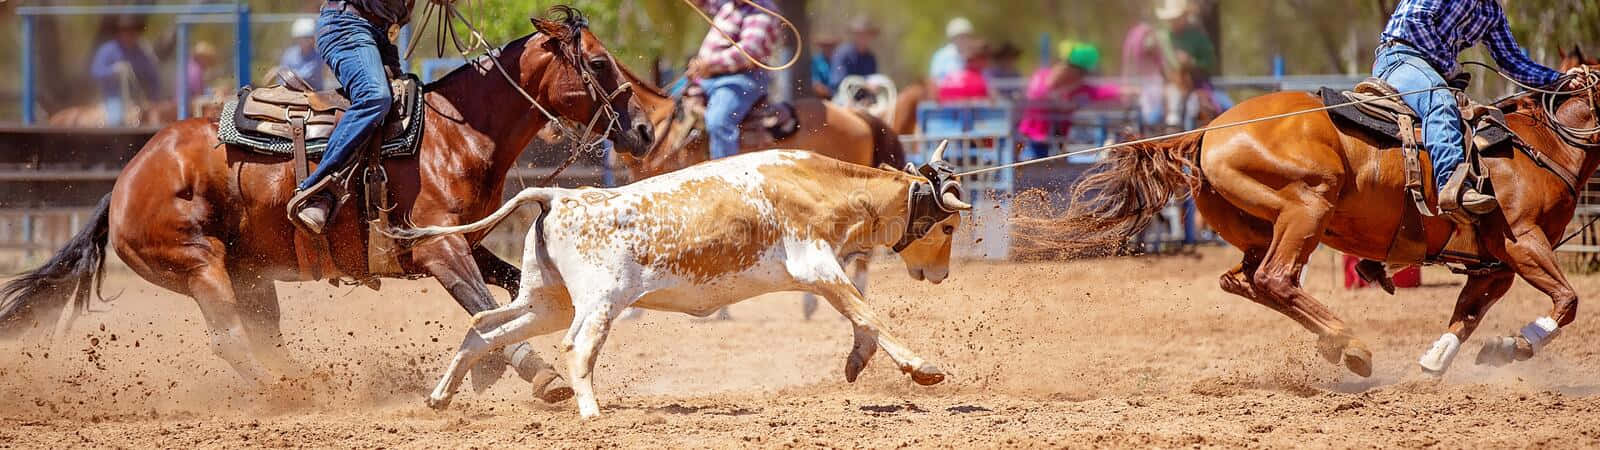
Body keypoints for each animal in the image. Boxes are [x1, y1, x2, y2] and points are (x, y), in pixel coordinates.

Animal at [0, 7, 656, 395]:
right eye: (600, 62)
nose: (646, 131)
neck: (456, 134)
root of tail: (124, 182)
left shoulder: (466, 244)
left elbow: (512, 290)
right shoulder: (438, 250)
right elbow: (480, 309)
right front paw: (534, 374)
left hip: (250, 274)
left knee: (262, 335)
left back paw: (308, 384)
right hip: (197, 263)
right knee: (229, 338)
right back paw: (279, 397)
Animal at [396, 147, 972, 416]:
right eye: (946, 226)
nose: (941, 274)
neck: (817, 185)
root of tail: (559, 195)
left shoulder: (822, 275)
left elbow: (859, 317)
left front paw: (857, 361)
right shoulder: (816, 264)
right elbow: (870, 313)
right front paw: (922, 368)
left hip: (546, 302)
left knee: (482, 326)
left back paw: (440, 397)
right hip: (598, 302)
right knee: (577, 347)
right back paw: (592, 412)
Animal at [1062, 56, 1600, 376]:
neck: (1542, 144)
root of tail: (1207, 133)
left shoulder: (1494, 266)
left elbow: (1465, 315)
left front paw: (1447, 358)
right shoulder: (1521, 240)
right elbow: (1568, 300)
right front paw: (1520, 345)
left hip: (1261, 230)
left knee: (1246, 280)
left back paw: (1340, 344)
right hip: (1308, 205)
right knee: (1276, 279)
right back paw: (1351, 343)